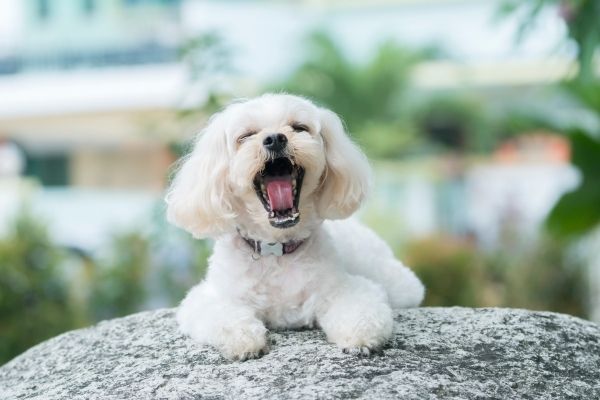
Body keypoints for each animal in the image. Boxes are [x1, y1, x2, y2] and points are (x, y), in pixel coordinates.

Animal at [166, 93, 424, 360]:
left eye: (299, 127)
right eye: (246, 136)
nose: (275, 138)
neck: (276, 250)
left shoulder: (345, 287)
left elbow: (360, 308)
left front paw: (361, 337)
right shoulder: (210, 297)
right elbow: (223, 316)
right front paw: (244, 339)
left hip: (398, 284)